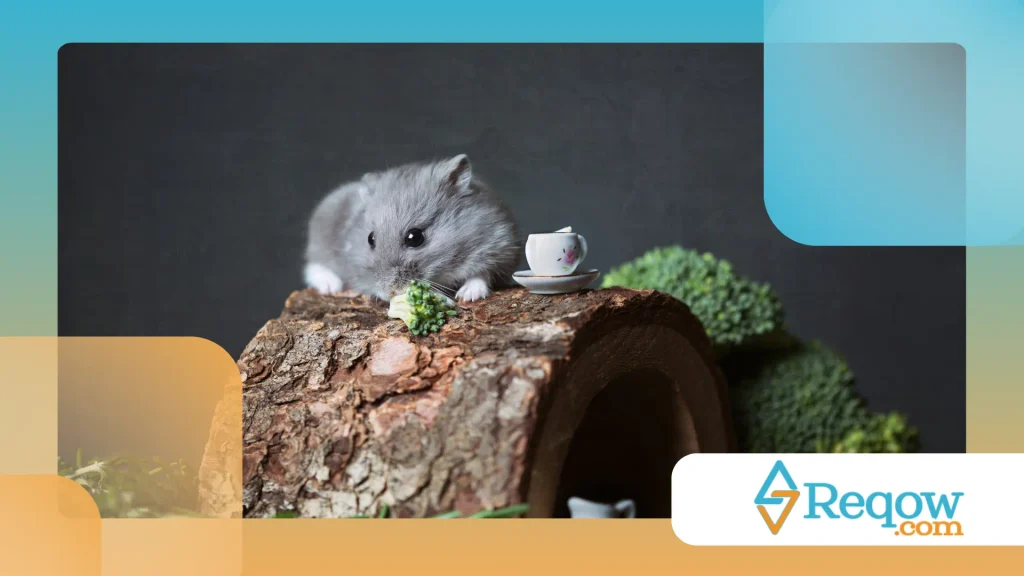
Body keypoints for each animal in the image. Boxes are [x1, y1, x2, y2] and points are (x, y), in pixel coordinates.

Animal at [304, 154, 519, 303]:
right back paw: (331, 286)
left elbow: (481, 274)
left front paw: (467, 296)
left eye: (414, 237)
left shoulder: (499, 246)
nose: (389, 293)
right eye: (370, 239)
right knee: (314, 266)